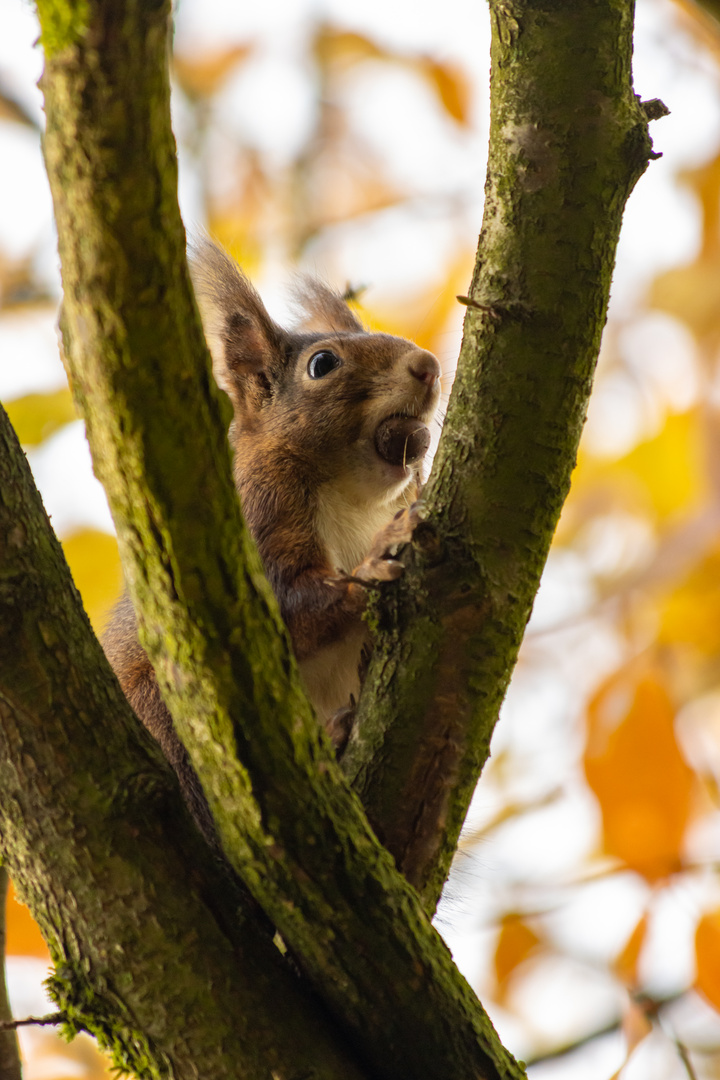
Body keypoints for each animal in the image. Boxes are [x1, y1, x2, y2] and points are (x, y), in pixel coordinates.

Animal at [100, 240, 440, 838]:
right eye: (322, 364)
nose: (428, 366)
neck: (355, 498)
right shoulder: (251, 520)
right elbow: (285, 606)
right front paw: (374, 562)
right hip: (165, 713)